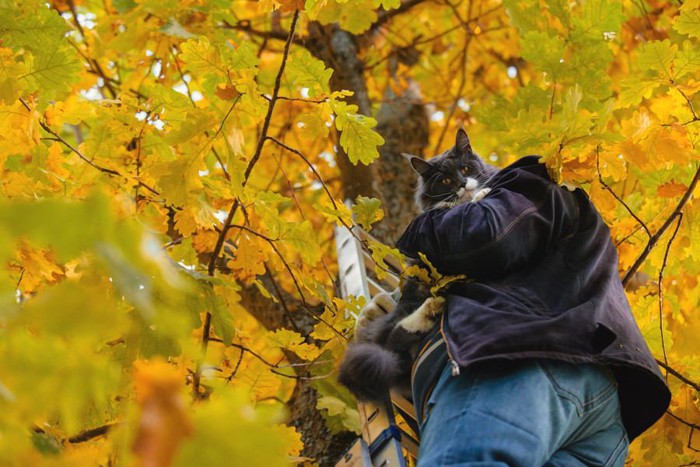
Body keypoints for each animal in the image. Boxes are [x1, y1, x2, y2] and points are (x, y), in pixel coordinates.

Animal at [338, 130, 498, 404]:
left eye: (465, 168)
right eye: (445, 180)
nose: (462, 184)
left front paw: (478, 191)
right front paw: (480, 194)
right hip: (411, 299)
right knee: (393, 338)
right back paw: (430, 310)